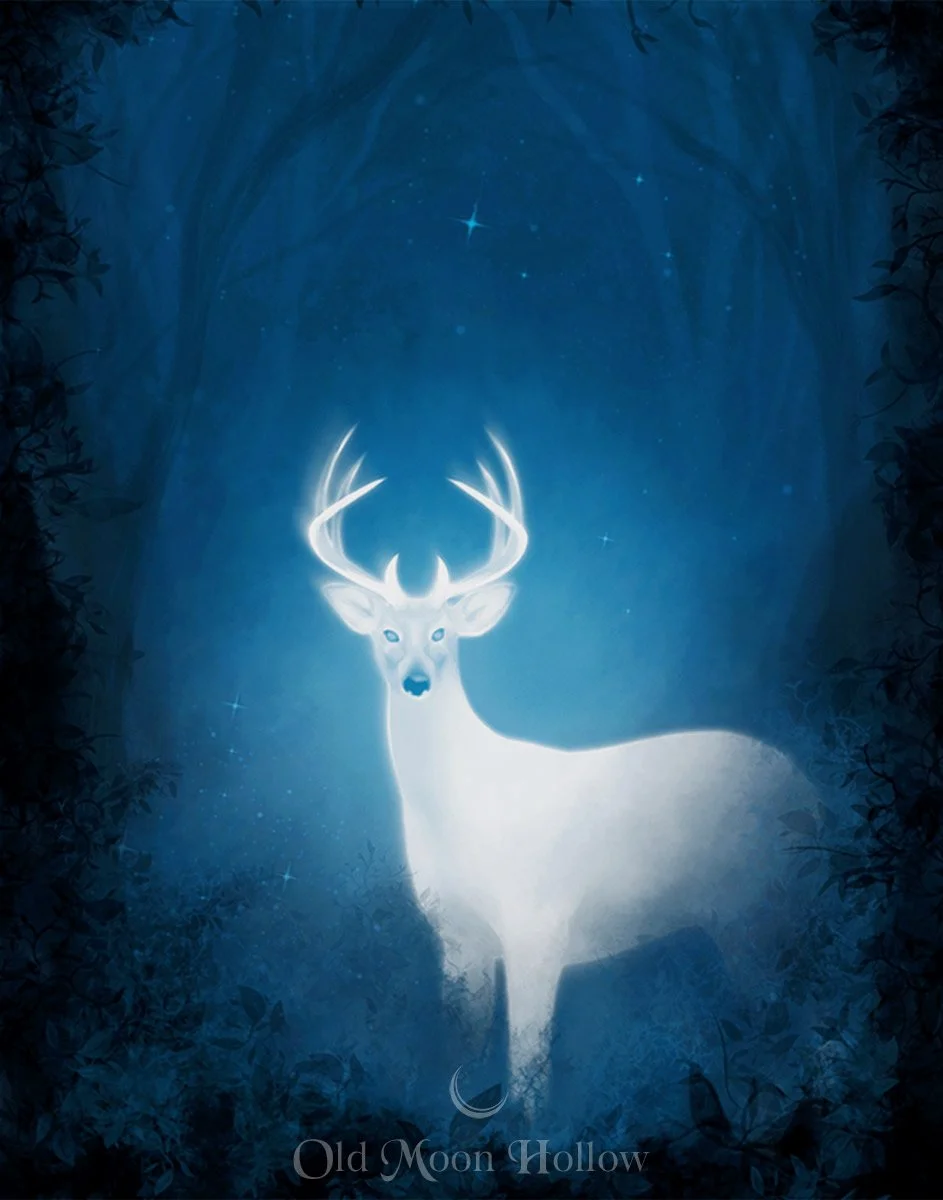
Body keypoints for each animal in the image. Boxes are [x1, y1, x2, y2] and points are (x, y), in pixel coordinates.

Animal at [307, 428, 816, 1114]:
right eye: (387, 632)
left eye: (442, 632)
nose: (415, 681)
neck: (460, 809)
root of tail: (816, 793)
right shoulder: (456, 938)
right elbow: (459, 1056)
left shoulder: (539, 924)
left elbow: (529, 1073)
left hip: (759, 909)